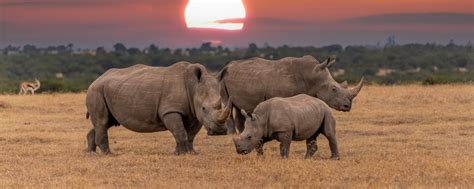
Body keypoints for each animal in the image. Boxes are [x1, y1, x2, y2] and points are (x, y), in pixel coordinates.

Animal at [87, 62, 233, 155]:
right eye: (204, 108)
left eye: (221, 104)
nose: (220, 131)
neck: (194, 86)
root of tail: (97, 79)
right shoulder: (170, 110)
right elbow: (180, 131)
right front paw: (181, 154)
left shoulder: (194, 113)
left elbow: (191, 134)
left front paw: (191, 153)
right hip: (96, 91)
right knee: (102, 121)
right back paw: (108, 154)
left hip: (108, 90)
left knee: (106, 122)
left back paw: (90, 153)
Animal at [218, 55, 362, 134]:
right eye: (333, 89)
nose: (347, 106)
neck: (312, 76)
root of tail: (227, 66)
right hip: (222, 79)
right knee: (227, 103)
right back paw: (232, 134)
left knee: (239, 105)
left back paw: (242, 131)